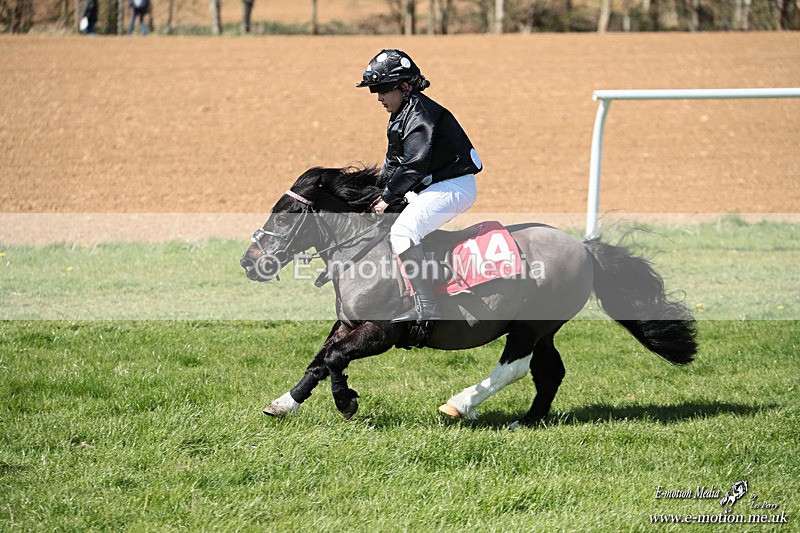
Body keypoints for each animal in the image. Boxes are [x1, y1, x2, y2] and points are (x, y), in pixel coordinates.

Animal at [240, 166, 698, 428]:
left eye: (286, 214)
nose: (248, 262)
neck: (363, 254)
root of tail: (584, 249)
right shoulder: (348, 324)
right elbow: (319, 361)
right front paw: (283, 404)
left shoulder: (381, 331)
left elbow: (335, 359)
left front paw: (346, 402)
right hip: (543, 329)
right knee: (549, 372)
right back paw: (528, 422)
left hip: (529, 326)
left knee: (516, 367)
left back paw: (460, 405)